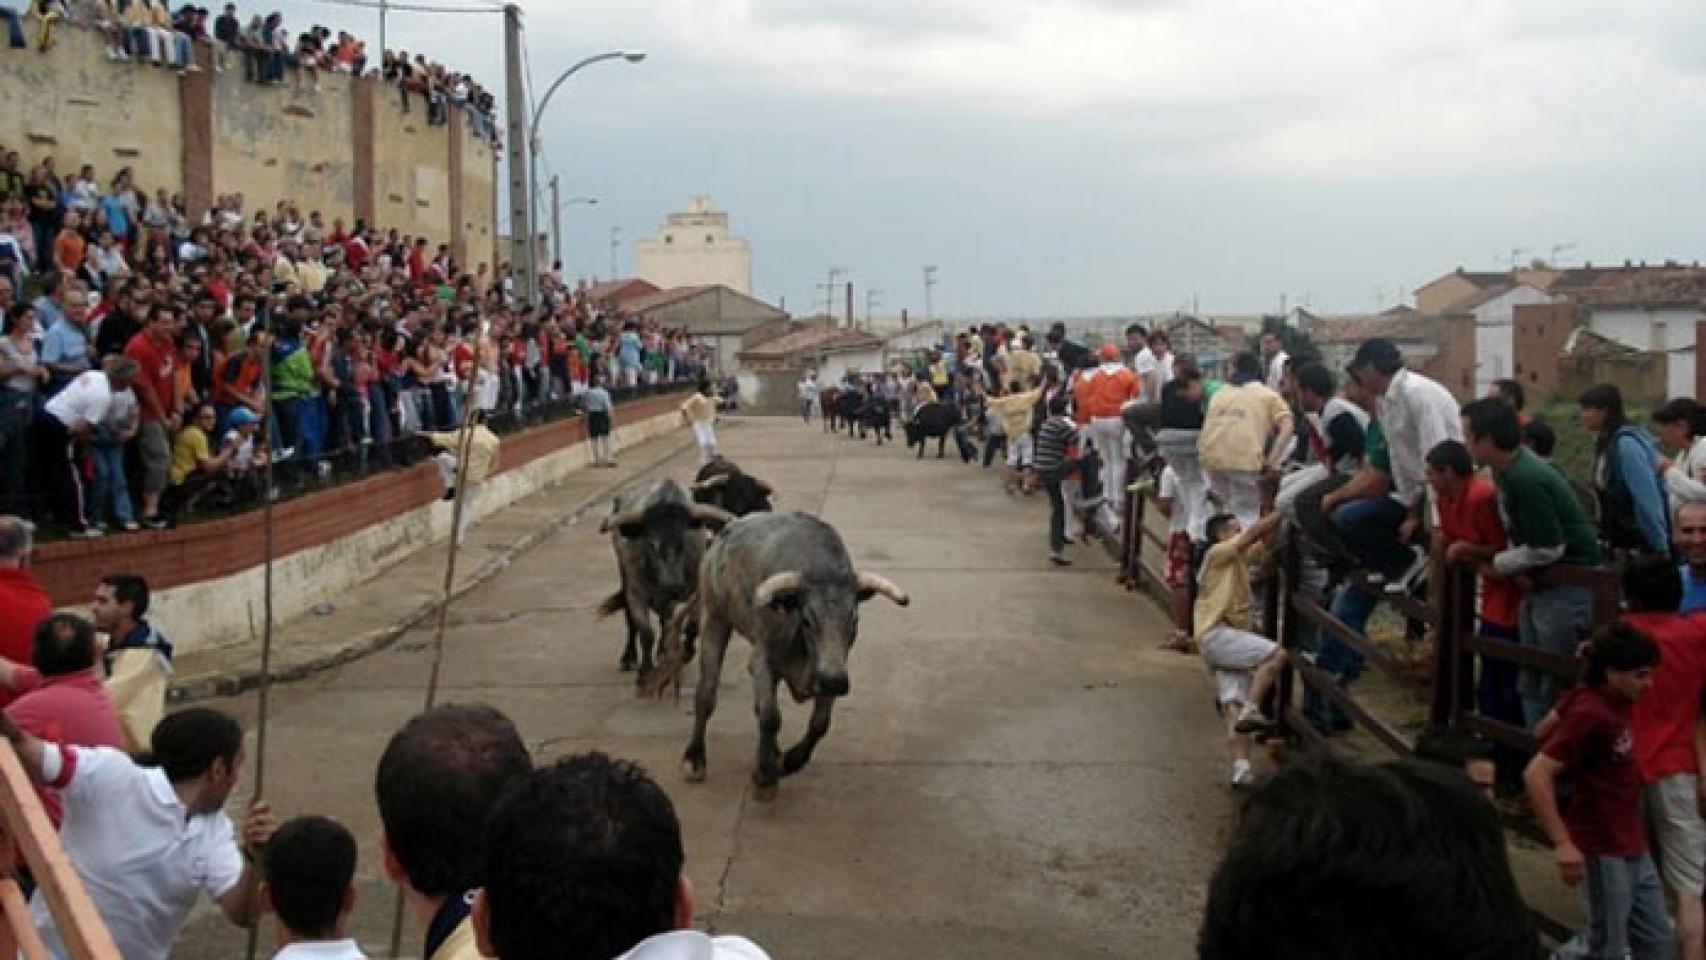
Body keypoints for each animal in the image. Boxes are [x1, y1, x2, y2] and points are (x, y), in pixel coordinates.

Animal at [600, 477, 733, 688]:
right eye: (650, 543)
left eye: (682, 541)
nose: (673, 586)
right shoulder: (635, 592)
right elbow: (646, 632)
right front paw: (645, 672)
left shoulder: (697, 590)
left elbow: (692, 625)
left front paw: (685, 652)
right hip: (624, 577)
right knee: (632, 620)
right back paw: (629, 657)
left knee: (666, 619)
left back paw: (663, 652)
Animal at [675, 514, 907, 801]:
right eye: (807, 620)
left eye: (853, 620)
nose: (833, 681)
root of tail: (725, 532)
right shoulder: (763, 662)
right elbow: (770, 717)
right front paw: (764, 777)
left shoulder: (830, 669)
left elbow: (820, 724)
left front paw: (789, 761)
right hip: (715, 618)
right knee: (706, 695)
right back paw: (695, 758)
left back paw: (773, 753)